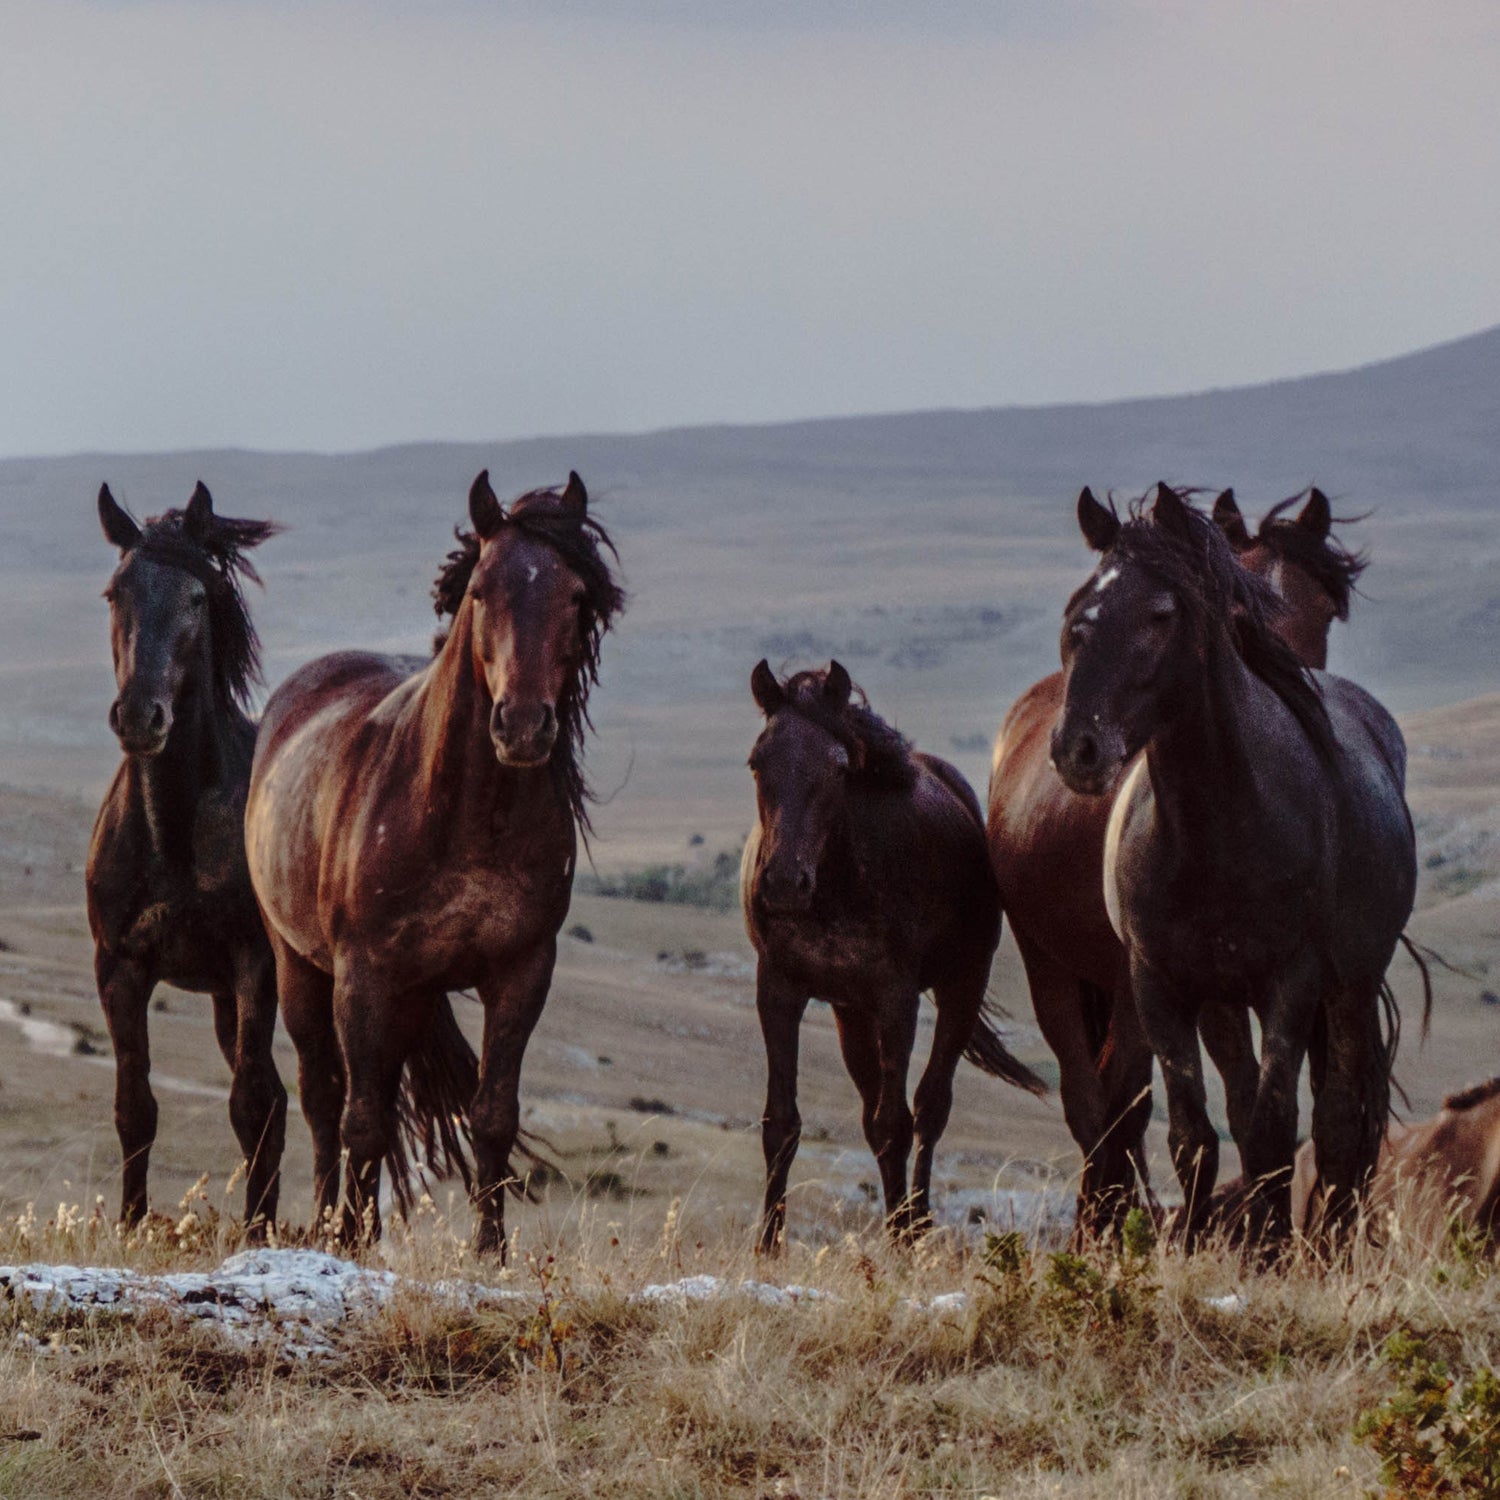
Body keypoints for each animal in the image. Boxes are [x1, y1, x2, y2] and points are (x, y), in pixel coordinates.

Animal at [87, 480, 286, 1230]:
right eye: (115, 592)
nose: (141, 716)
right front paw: (130, 1223)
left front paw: (260, 1237)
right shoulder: (119, 968)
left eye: (198, 598)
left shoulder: (256, 964)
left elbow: (250, 1103)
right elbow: (134, 1107)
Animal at [246, 474, 621, 1248]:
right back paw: (329, 1221)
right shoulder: (364, 975)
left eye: (576, 594)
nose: (524, 726)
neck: (466, 818)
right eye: (479, 588)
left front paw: (490, 1249)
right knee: (325, 1098)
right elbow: (360, 1119)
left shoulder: (521, 971)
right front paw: (350, 1242)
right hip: (300, 966)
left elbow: (493, 1114)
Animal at [741, 663, 1044, 1248]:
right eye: (756, 762)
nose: (785, 883)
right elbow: (781, 1123)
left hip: (959, 987)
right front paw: (767, 1245)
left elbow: (895, 1123)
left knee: (929, 1108)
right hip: (850, 1012)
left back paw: (918, 1223)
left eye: (839, 768)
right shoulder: (780, 992)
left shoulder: (896, 1000)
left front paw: (902, 1238)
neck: (838, 880)